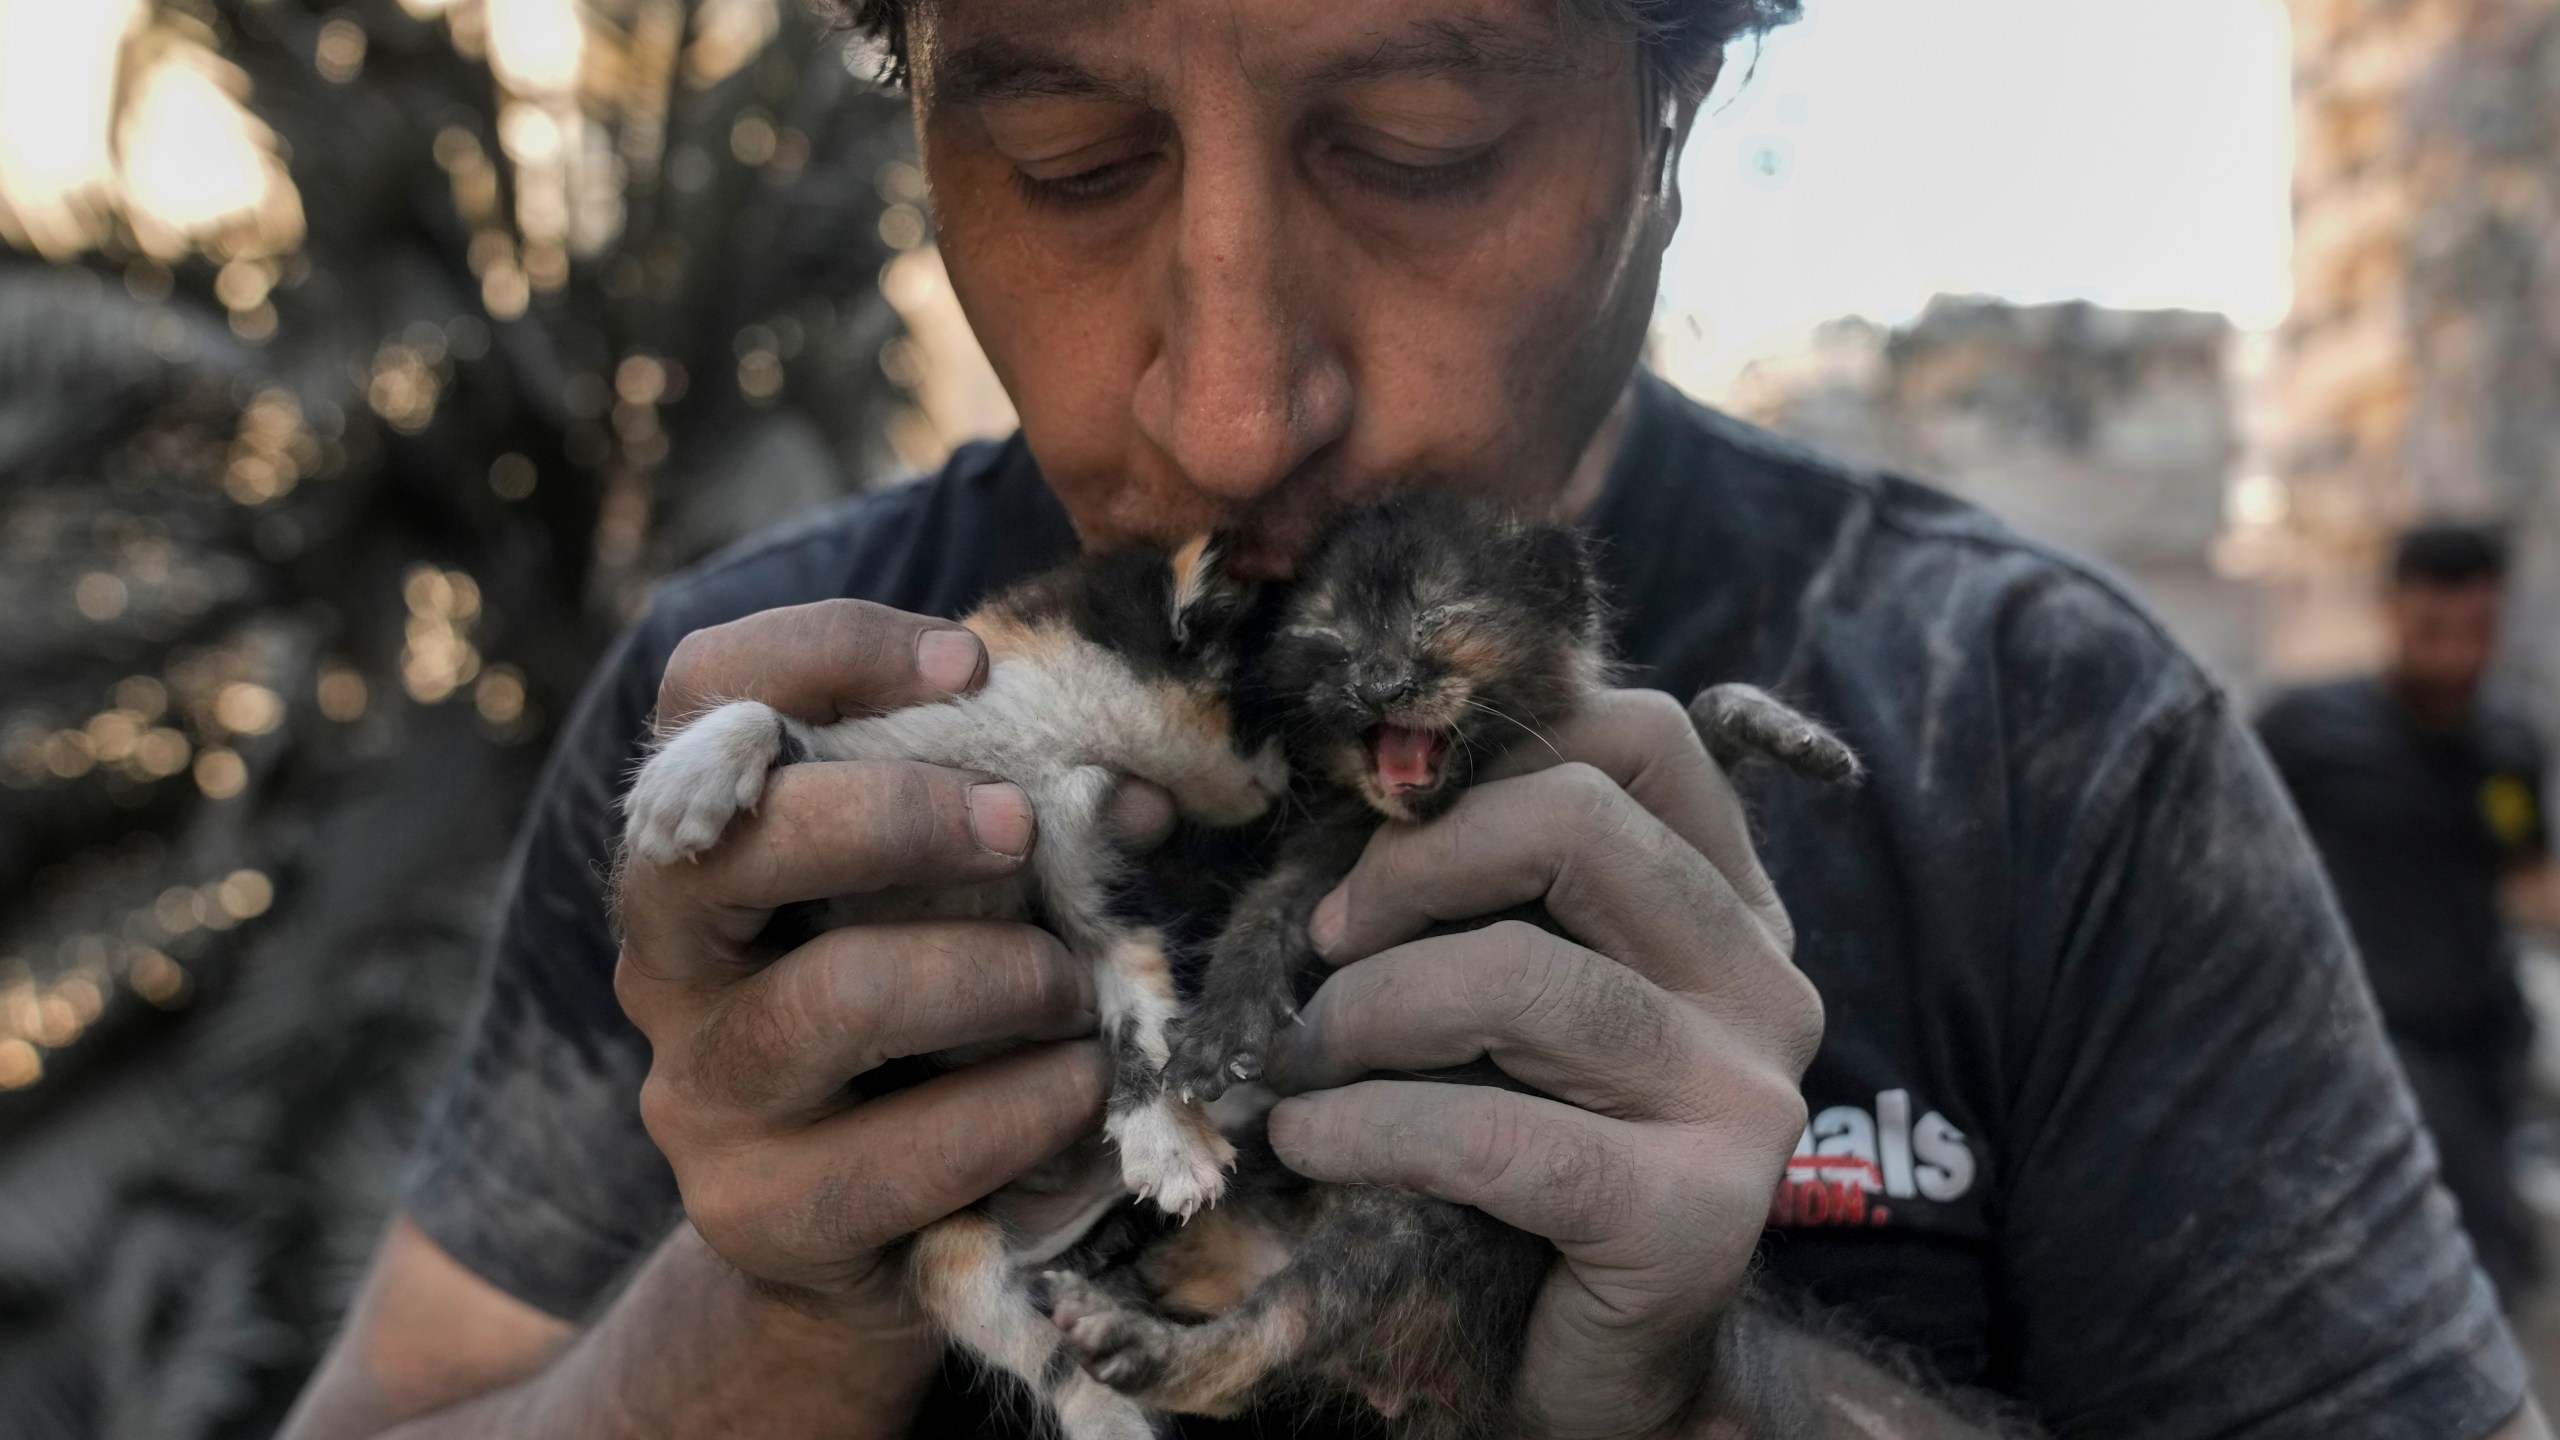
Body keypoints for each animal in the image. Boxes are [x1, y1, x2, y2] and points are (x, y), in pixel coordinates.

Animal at [616, 535, 1290, 1434]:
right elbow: (778, 722)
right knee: (1032, 1338)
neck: (1033, 735)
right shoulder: (847, 821)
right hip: (952, 1253)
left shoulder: (1097, 887)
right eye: (1263, 713)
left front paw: (1169, 1141)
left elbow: (1143, 1011)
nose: (1285, 783)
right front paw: (685, 777)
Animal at [1039, 489, 1863, 1434]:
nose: (1377, 685)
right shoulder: (1320, 860)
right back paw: (1110, 1294)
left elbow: (1702, 714)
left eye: (1440, 614)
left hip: (1419, 1230)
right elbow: (1255, 918)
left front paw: (1784, 729)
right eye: (1330, 636)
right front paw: (1219, 1029)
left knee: (1273, 1335)